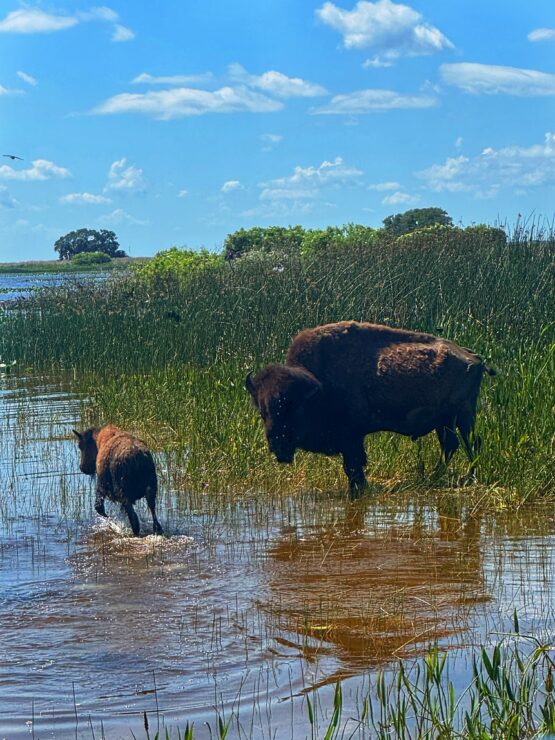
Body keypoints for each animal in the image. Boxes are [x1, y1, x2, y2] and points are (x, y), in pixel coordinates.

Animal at [246, 321, 495, 496]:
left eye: (293, 408)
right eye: (262, 411)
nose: (277, 444)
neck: (318, 384)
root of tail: (474, 358)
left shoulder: (352, 438)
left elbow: (354, 467)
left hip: (463, 414)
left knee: (471, 443)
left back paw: (467, 478)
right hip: (444, 421)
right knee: (450, 445)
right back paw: (435, 477)